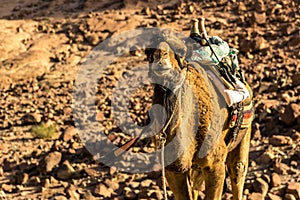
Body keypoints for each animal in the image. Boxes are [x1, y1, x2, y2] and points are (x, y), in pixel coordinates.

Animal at [148, 30, 253, 199]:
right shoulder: (173, 170)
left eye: (179, 50)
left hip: (244, 134)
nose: (160, 56)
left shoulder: (215, 163)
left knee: (237, 169)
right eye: (148, 52)